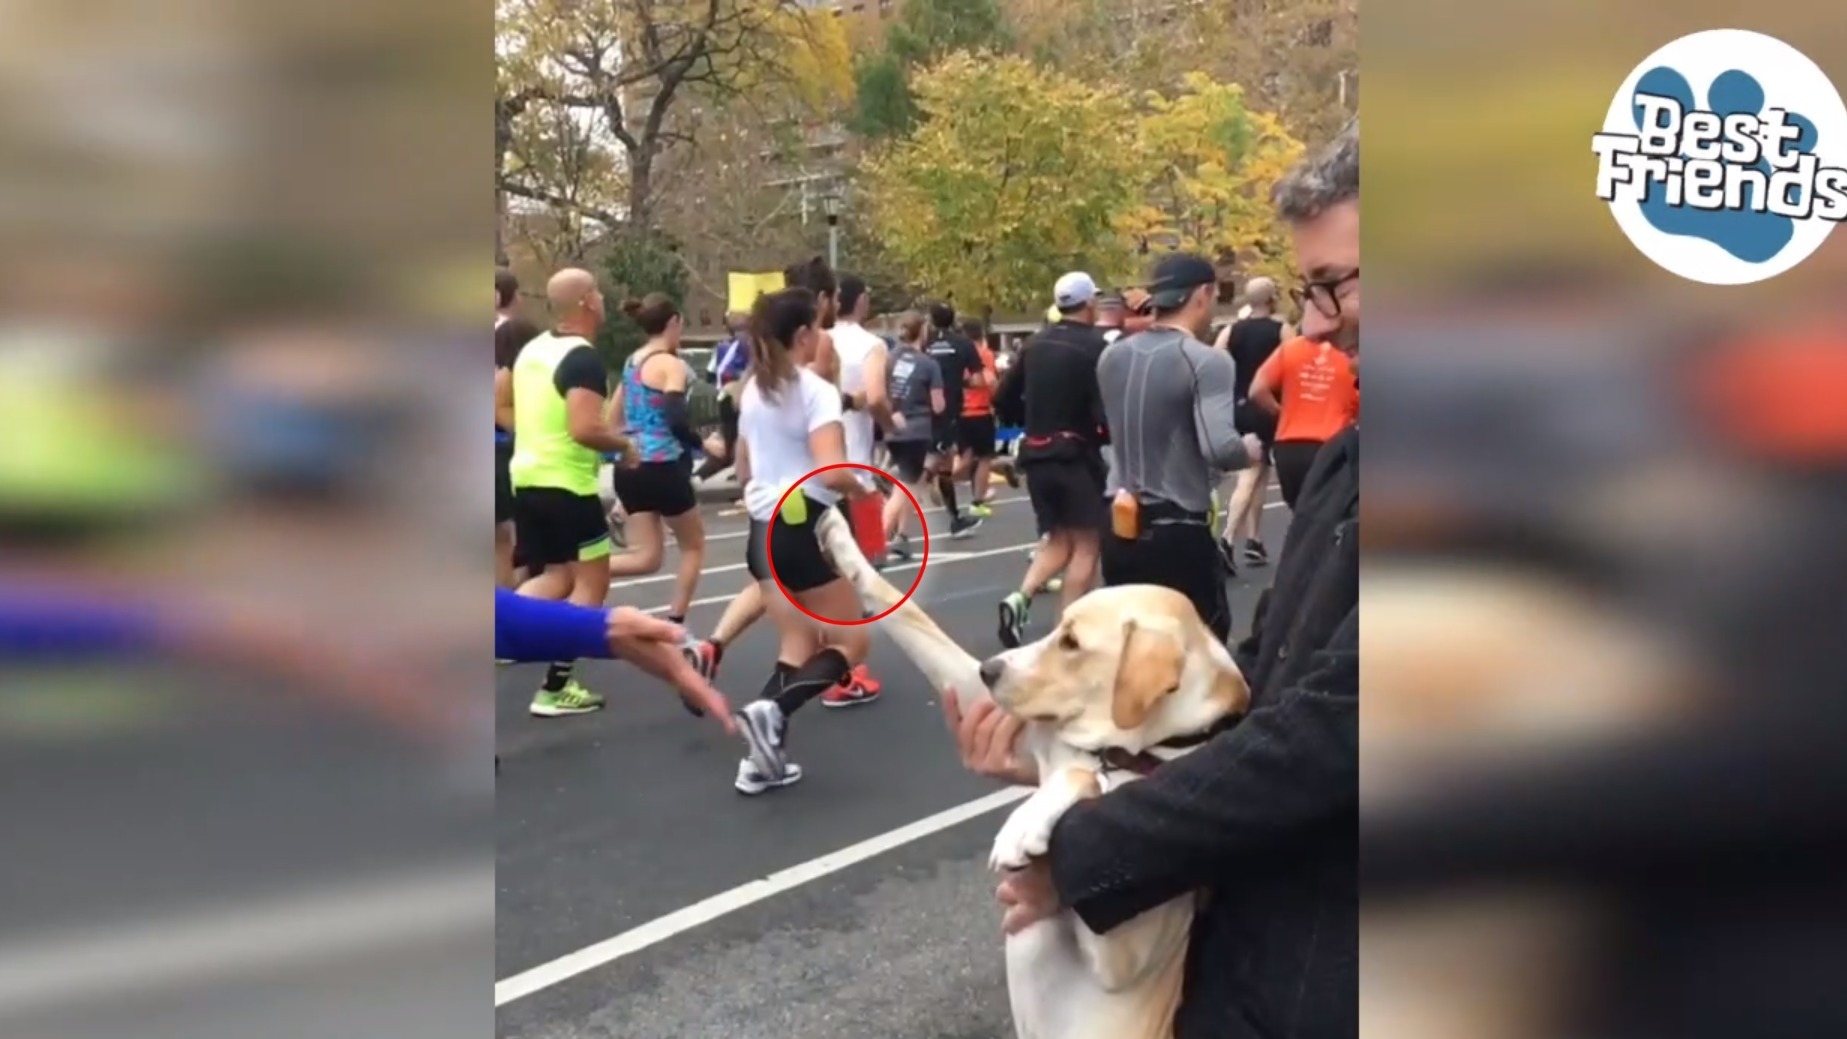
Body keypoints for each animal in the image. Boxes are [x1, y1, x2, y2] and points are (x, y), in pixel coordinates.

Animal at [816, 513, 1248, 1039]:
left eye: (1072, 642)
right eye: (1060, 629)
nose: (988, 669)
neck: (1122, 751)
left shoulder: (1122, 956)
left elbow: (1082, 779)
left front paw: (1025, 825)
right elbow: (906, 613)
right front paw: (840, 538)